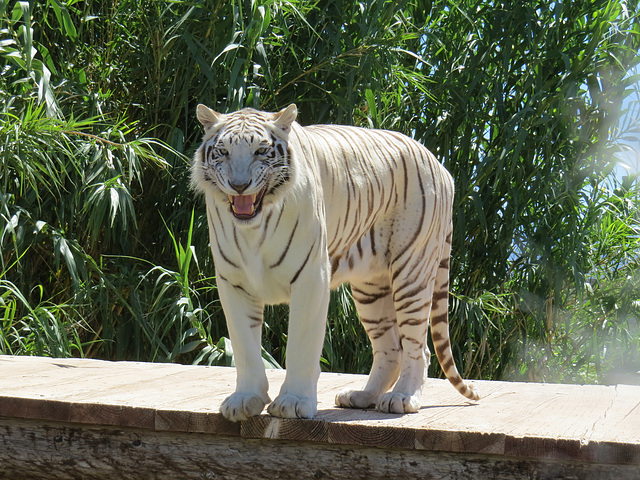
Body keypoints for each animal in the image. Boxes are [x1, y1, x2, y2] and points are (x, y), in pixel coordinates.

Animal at [192, 104, 478, 420]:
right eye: (223, 152)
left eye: (261, 151)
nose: (239, 186)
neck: (253, 227)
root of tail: (438, 164)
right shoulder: (233, 282)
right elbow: (244, 347)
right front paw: (246, 399)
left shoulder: (310, 277)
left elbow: (300, 345)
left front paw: (293, 402)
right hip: (370, 288)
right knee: (390, 349)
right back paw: (362, 396)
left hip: (412, 272)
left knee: (418, 347)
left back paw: (403, 397)